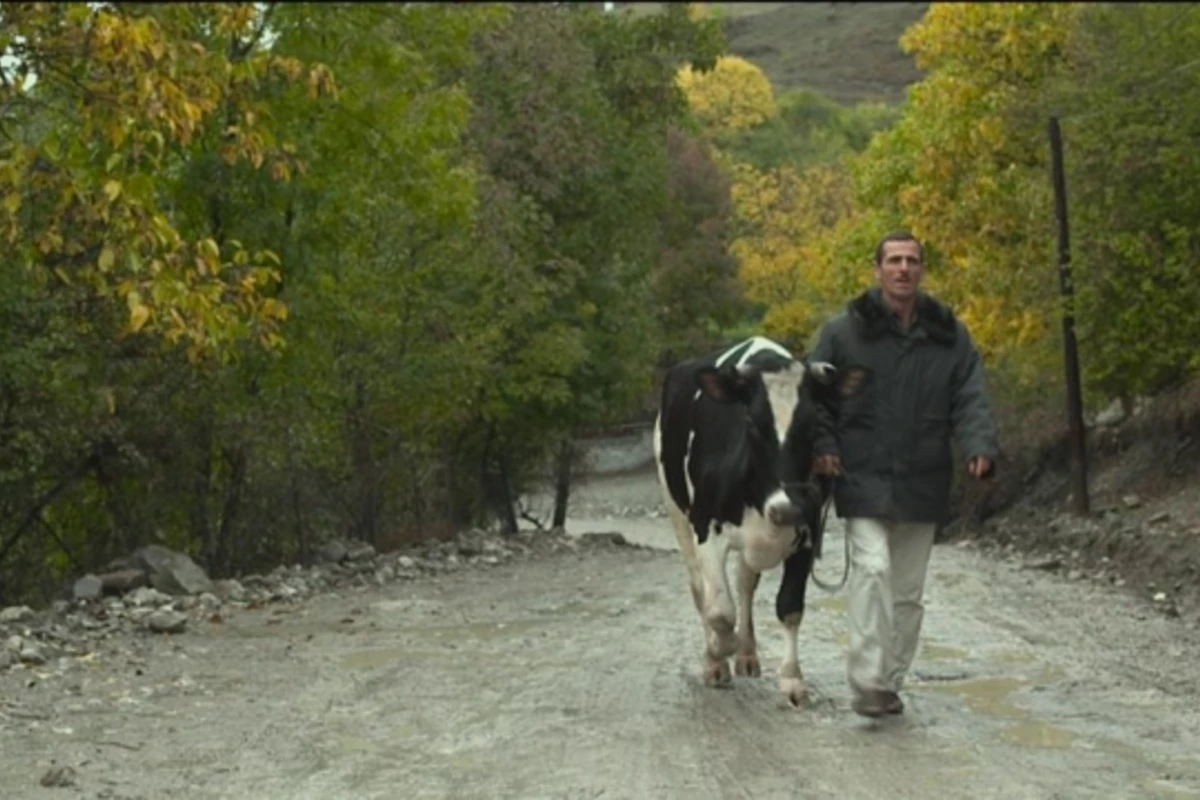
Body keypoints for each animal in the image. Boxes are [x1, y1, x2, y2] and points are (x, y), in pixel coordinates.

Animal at [652, 335, 868, 705]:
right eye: (751, 424)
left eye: (814, 425)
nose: (786, 508)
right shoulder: (706, 530)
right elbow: (720, 612)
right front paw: (717, 652)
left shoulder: (807, 534)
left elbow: (789, 607)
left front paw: (792, 679)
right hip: (675, 510)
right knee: (700, 589)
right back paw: (717, 659)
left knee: (744, 583)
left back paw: (747, 654)